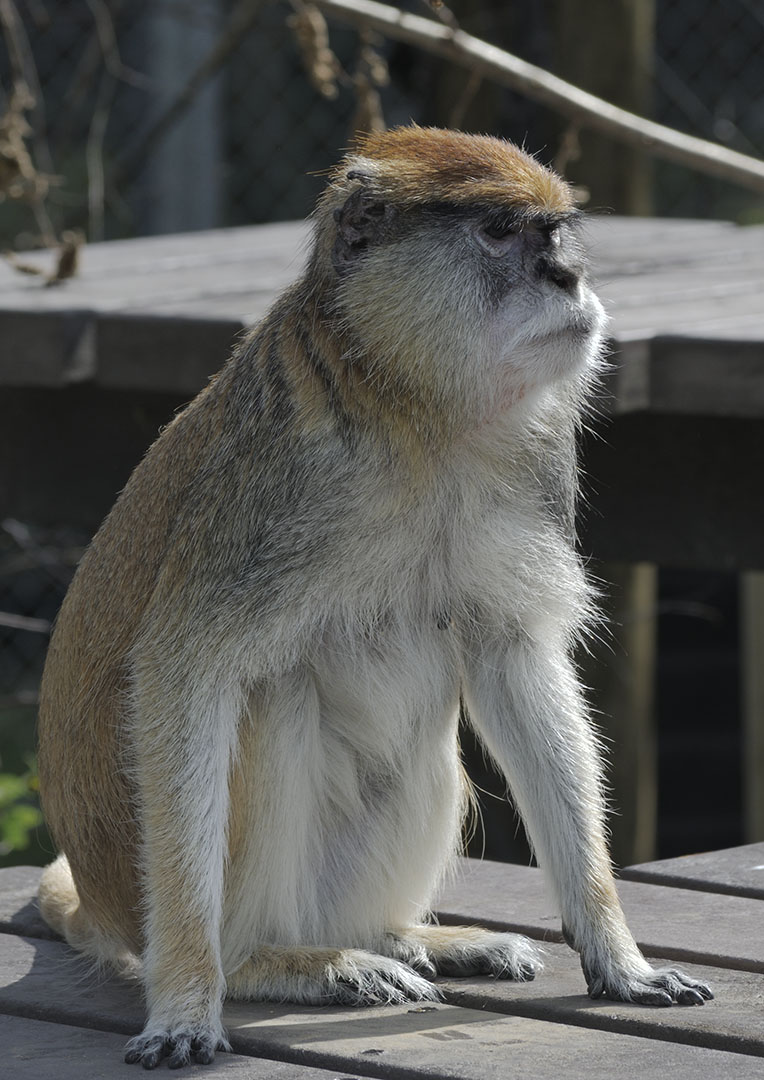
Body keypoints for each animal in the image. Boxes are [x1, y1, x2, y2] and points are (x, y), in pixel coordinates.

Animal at [37, 126, 712, 1071]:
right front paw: (187, 1000)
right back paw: (275, 961)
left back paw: (401, 938)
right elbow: (185, 676)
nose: (567, 277)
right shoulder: (270, 496)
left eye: (556, 233)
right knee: (274, 696)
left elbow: (514, 664)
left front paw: (618, 956)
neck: (413, 407)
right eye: (501, 233)